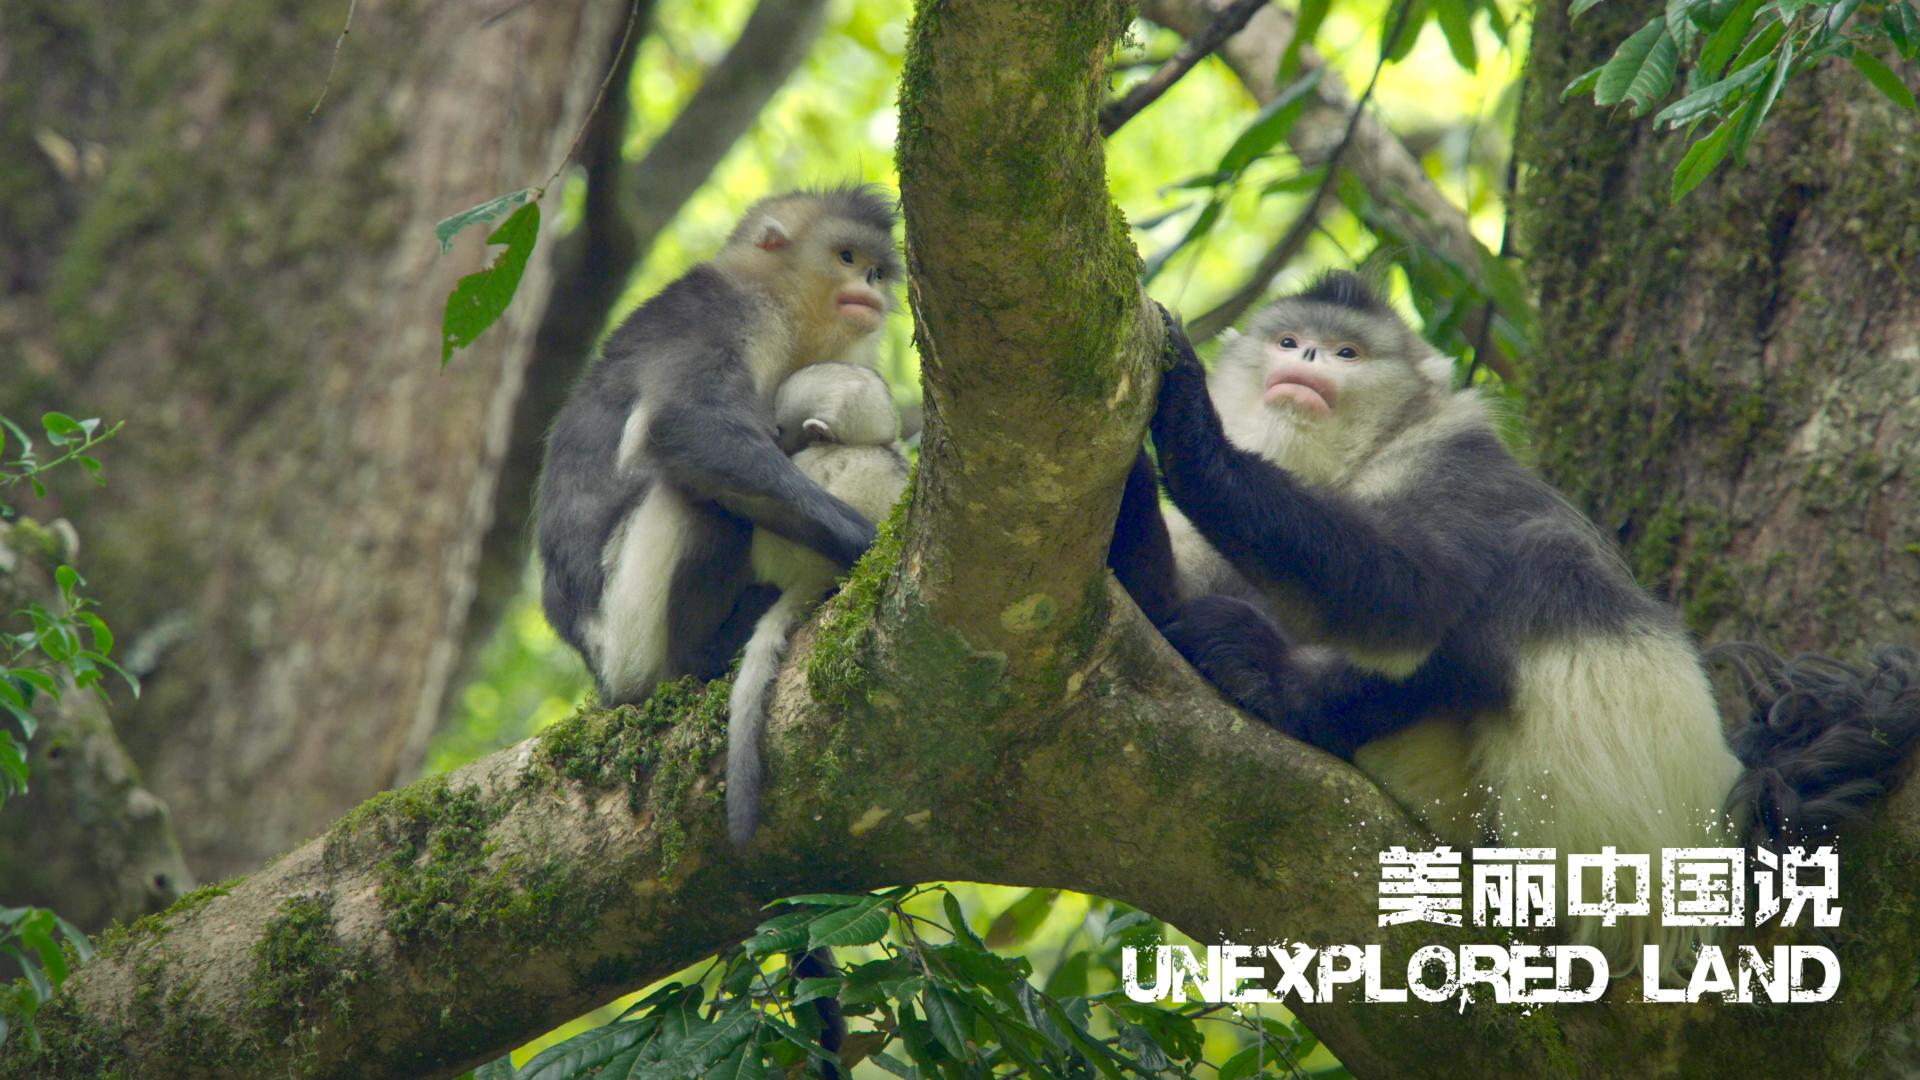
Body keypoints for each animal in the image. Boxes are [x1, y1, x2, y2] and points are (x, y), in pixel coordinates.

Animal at [1105, 270, 1920, 976]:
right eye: (1289, 339)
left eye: (1347, 353)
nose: (1304, 358)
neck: (1352, 463)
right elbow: (1160, 603)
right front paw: (1130, 494)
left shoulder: (1454, 465)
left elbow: (1414, 594)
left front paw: (1189, 428)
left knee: (1536, 570)